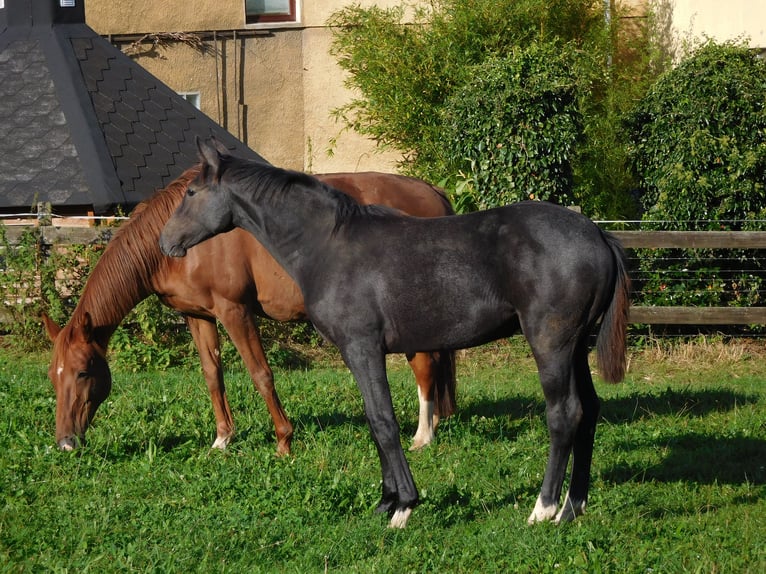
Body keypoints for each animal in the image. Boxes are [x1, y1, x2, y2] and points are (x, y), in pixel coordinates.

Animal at [43, 165, 456, 454]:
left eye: (83, 372)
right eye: (52, 376)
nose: (65, 443)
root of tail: (432, 191)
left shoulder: (234, 311)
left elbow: (261, 374)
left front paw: (284, 440)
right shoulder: (198, 316)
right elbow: (212, 374)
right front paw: (222, 439)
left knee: (424, 364)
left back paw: (422, 436)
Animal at [158, 141, 632, 532]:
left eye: (191, 193)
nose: (166, 242)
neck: (327, 244)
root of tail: (597, 234)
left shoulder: (362, 349)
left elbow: (383, 422)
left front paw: (403, 506)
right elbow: (375, 422)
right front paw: (386, 501)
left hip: (551, 345)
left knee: (564, 414)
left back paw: (544, 508)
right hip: (576, 348)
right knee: (589, 410)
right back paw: (573, 506)